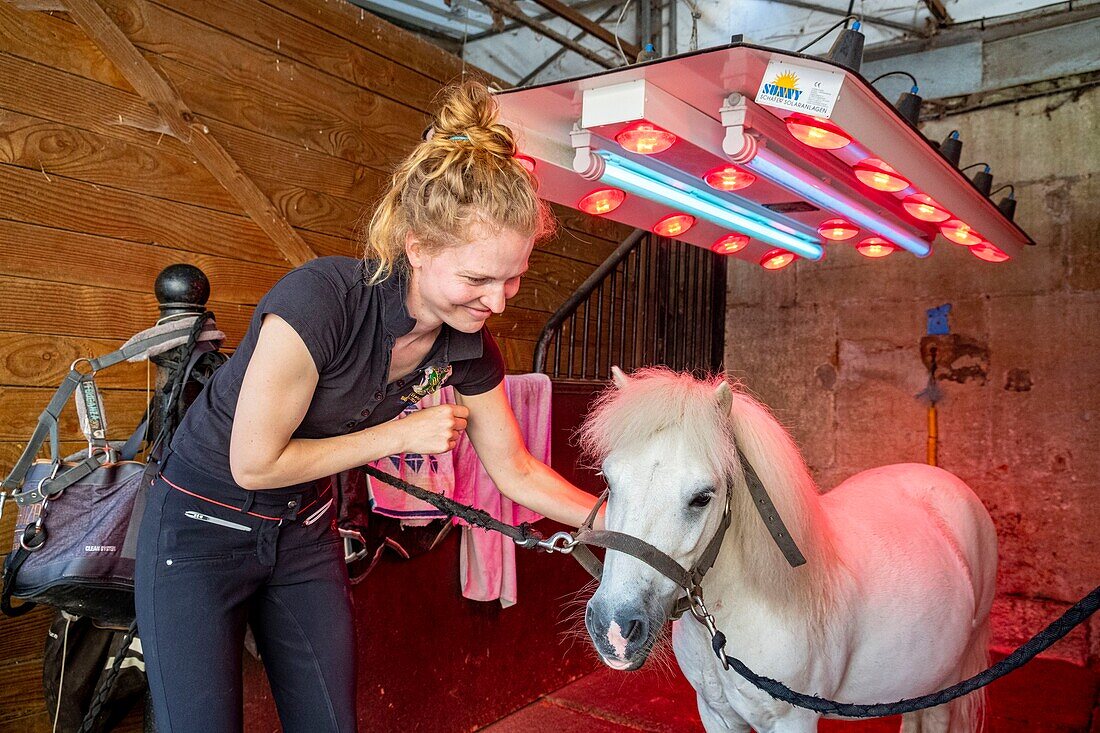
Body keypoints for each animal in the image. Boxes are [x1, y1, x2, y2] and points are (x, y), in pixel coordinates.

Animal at [580, 367, 1003, 730]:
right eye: (608, 480)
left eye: (702, 497)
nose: (614, 629)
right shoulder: (716, 714)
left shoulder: (792, 720)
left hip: (949, 679)